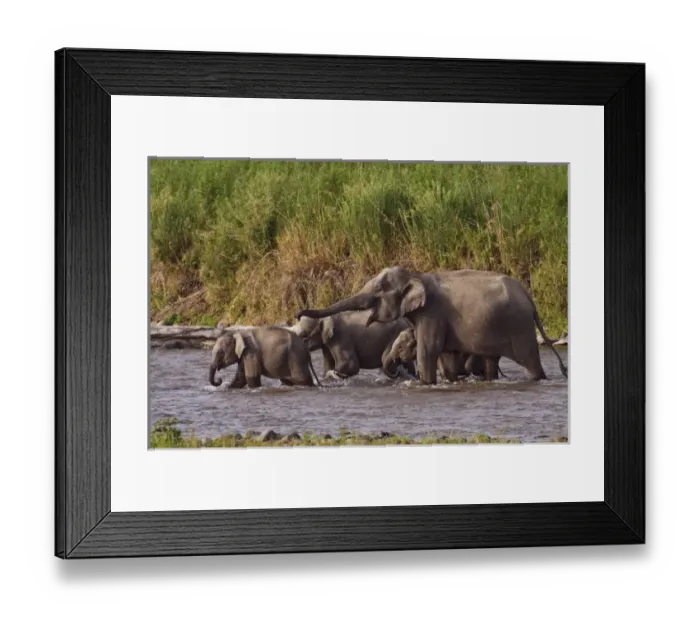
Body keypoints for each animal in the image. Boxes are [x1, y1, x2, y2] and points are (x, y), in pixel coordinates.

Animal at [296, 266, 567, 385]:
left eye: (378, 290)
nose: (297, 313)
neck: (417, 275)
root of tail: (530, 300)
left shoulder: (432, 314)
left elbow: (428, 351)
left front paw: (425, 384)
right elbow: (446, 355)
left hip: (519, 328)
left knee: (530, 361)